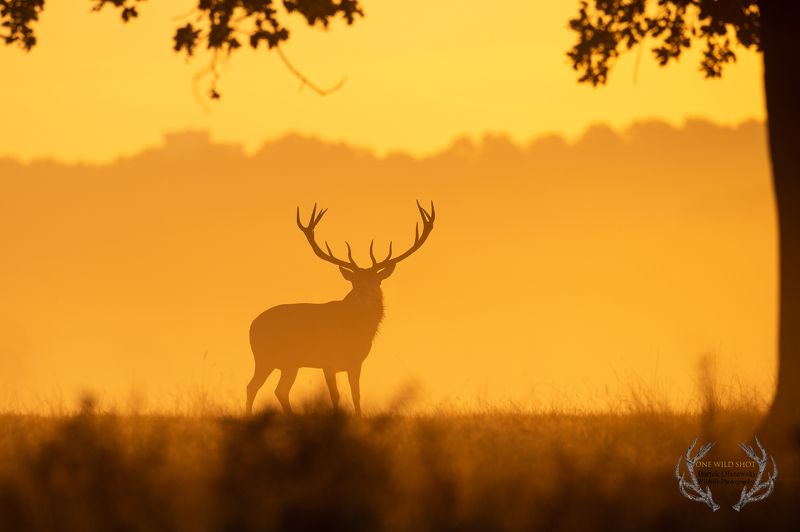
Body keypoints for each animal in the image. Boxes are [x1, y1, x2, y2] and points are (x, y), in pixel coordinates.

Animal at [246, 201, 436, 416]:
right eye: (354, 281)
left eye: (376, 280)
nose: (363, 291)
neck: (354, 331)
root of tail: (252, 325)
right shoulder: (328, 361)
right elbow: (335, 396)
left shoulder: (356, 362)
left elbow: (356, 395)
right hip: (265, 357)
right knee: (254, 387)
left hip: (289, 363)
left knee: (279, 390)